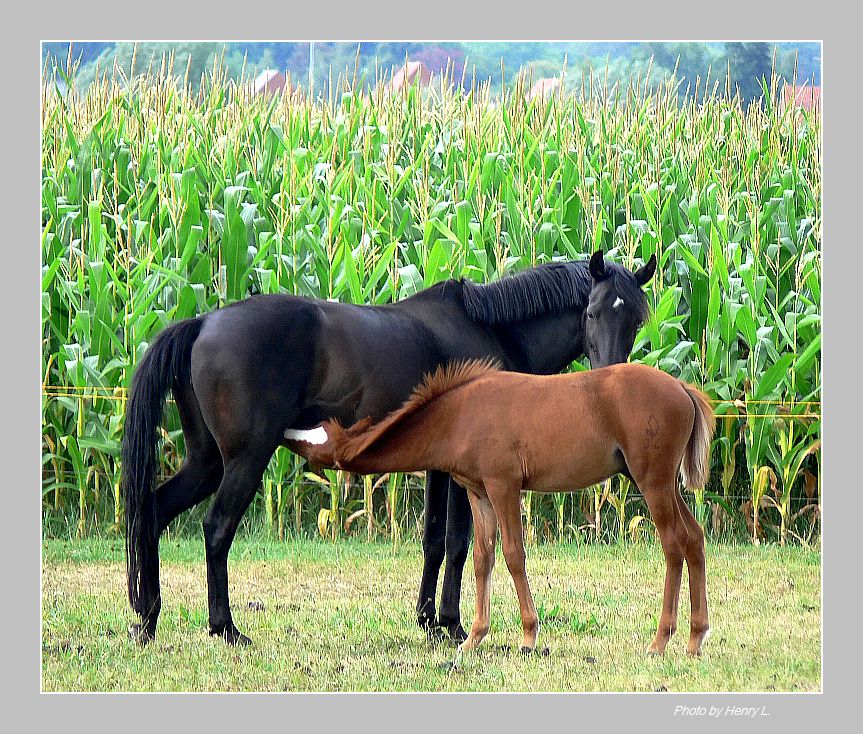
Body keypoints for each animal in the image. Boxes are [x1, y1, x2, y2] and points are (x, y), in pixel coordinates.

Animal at [125, 252, 660, 644]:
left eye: (637, 317)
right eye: (591, 312)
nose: (614, 376)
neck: (491, 332)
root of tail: (203, 322)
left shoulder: (441, 467)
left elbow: (434, 541)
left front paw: (428, 621)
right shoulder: (469, 471)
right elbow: (458, 542)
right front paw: (452, 625)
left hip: (206, 462)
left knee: (154, 510)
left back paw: (147, 619)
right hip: (244, 459)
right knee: (216, 530)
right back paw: (226, 628)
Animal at [290, 362, 716, 656]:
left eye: (318, 442)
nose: (287, 433)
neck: (461, 412)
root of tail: (681, 387)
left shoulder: (504, 486)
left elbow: (513, 554)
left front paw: (528, 636)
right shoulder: (479, 494)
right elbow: (482, 557)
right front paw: (474, 637)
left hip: (652, 482)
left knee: (673, 543)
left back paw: (661, 640)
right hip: (663, 484)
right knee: (694, 538)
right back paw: (695, 638)